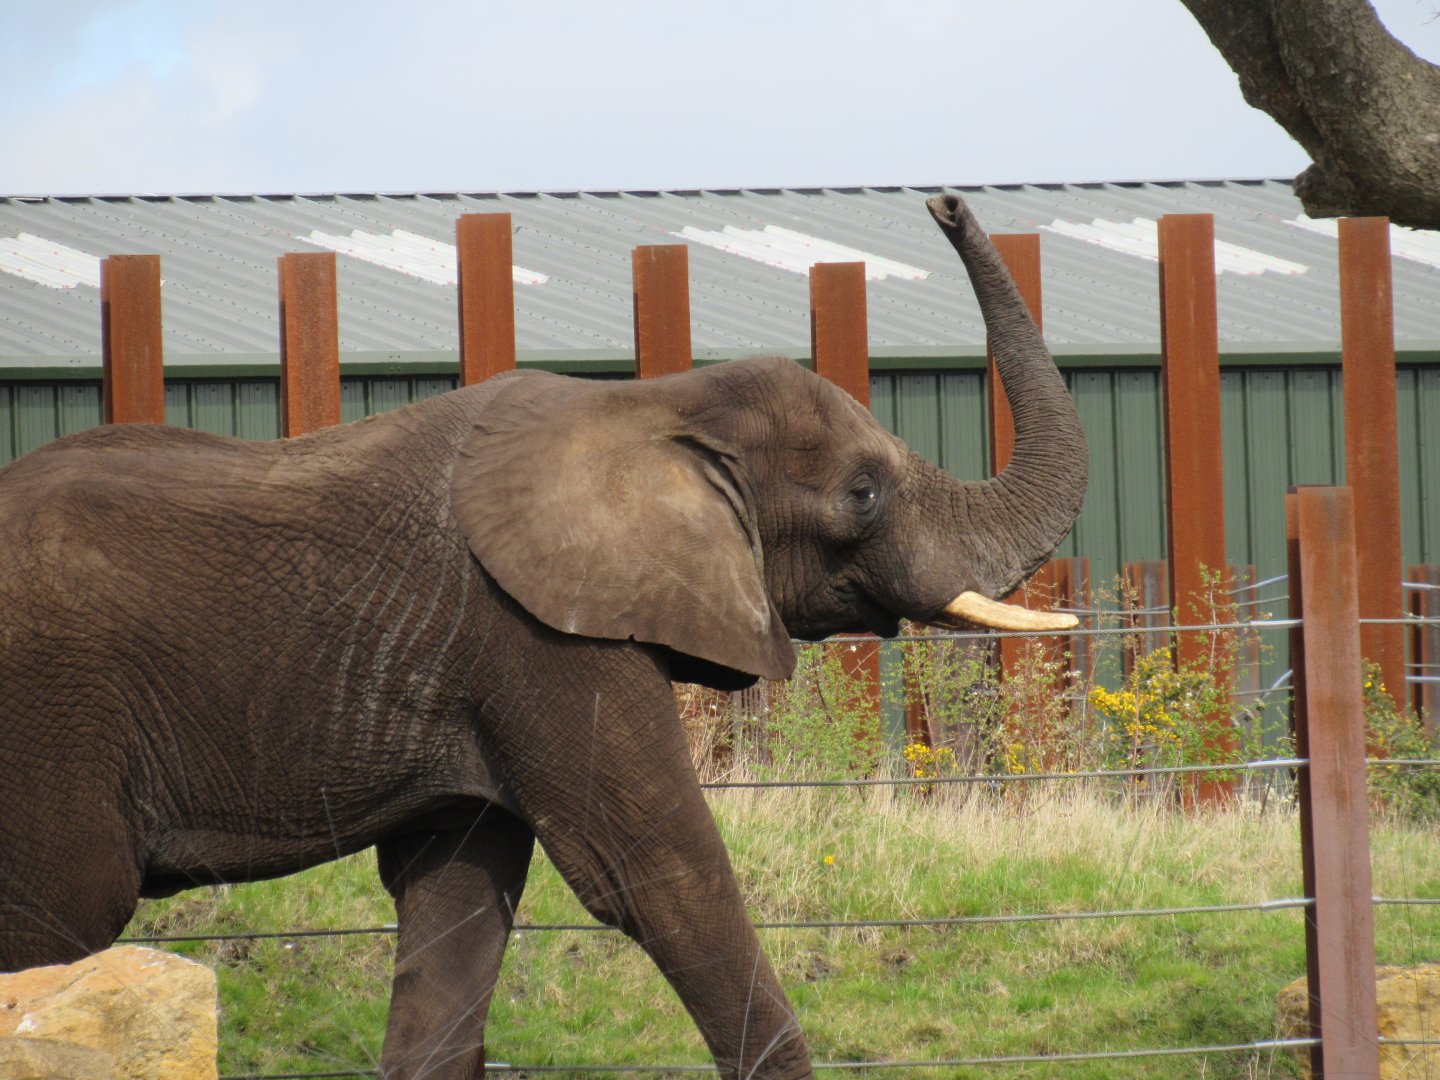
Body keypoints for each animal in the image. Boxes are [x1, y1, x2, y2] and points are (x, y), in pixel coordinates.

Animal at [0, 195, 1085, 1079]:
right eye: (861, 495)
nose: (944, 202)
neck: (649, 402)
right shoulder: (535, 637)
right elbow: (660, 877)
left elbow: (456, 907)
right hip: (52, 722)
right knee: (62, 916)